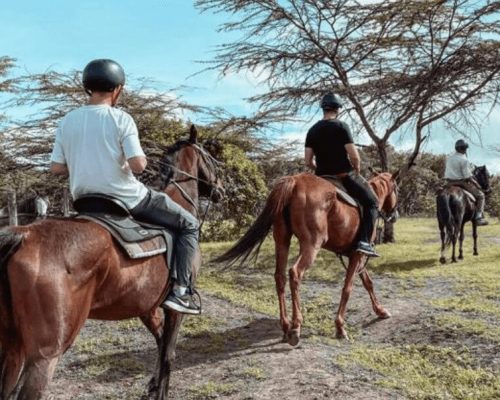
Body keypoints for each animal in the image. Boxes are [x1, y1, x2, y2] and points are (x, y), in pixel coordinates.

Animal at [0, 126, 225, 400]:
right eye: (211, 158)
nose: (221, 190)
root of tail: (24, 235)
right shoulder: (174, 310)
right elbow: (169, 353)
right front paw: (160, 390)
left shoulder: (147, 307)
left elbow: (160, 344)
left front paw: (152, 385)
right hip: (44, 355)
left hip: (11, 347)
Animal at [215, 171, 398, 344]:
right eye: (397, 188)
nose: (394, 215)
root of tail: (294, 181)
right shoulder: (358, 254)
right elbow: (348, 288)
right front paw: (340, 327)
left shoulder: (355, 255)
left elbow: (368, 283)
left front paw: (380, 310)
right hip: (311, 245)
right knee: (295, 273)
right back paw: (296, 327)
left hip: (282, 240)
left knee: (280, 277)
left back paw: (285, 326)